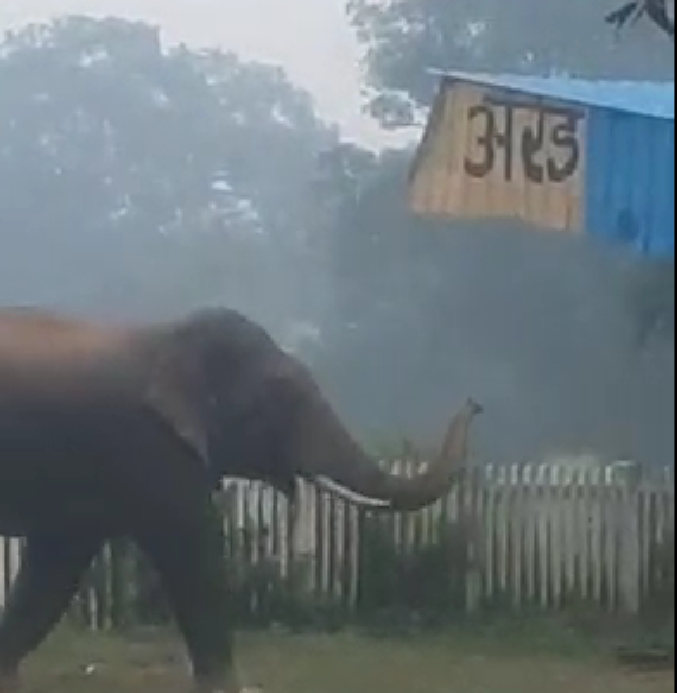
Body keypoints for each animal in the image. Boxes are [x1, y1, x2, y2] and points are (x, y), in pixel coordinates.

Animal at [2, 306, 484, 692]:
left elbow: (54, 569)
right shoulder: (153, 449)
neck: (168, 334)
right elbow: (190, 554)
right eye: (286, 398)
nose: (475, 402)